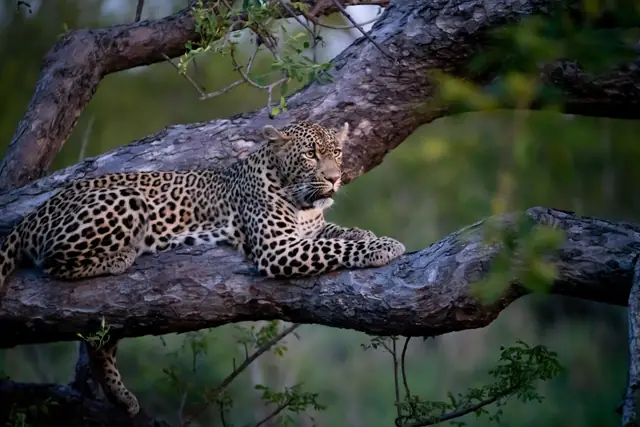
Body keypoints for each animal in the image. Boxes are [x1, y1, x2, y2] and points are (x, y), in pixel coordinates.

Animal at [0, 120, 405, 416]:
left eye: (336, 152)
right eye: (310, 154)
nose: (335, 178)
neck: (298, 196)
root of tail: (35, 213)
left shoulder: (310, 230)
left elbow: (338, 233)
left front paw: (368, 233)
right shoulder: (278, 249)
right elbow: (335, 247)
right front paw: (385, 246)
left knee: (101, 343)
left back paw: (122, 398)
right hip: (122, 201)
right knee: (54, 263)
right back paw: (120, 256)